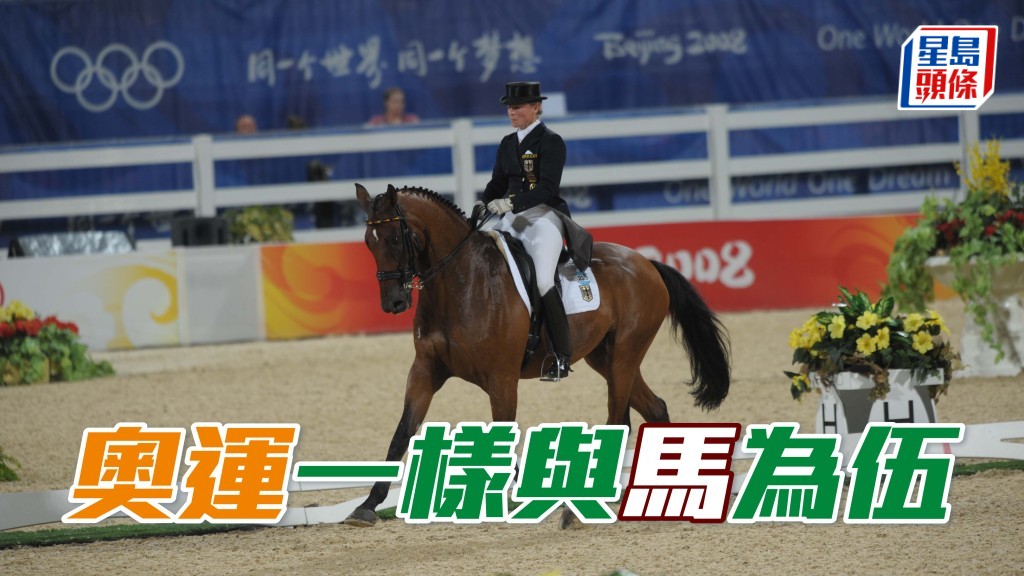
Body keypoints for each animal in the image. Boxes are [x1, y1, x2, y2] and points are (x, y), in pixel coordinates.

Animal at [345, 183, 731, 526]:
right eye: (368, 243)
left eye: (395, 239)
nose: (393, 303)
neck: (462, 283)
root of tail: (646, 263)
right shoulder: (425, 370)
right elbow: (402, 433)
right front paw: (366, 506)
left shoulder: (501, 378)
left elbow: (503, 435)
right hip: (606, 358)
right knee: (654, 408)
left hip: (625, 353)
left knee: (621, 419)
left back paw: (578, 511)